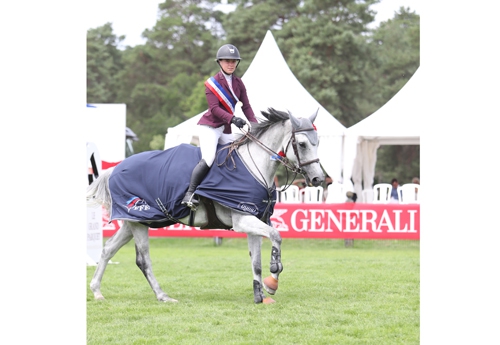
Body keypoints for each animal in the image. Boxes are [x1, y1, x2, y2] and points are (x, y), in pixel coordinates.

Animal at [87, 107, 324, 304]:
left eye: (317, 142)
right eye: (302, 144)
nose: (318, 179)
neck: (254, 165)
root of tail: (115, 169)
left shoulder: (253, 220)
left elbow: (256, 261)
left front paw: (260, 295)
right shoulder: (243, 219)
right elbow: (277, 236)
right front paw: (273, 278)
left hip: (133, 221)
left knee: (108, 249)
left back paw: (97, 291)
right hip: (138, 221)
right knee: (143, 259)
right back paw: (163, 296)